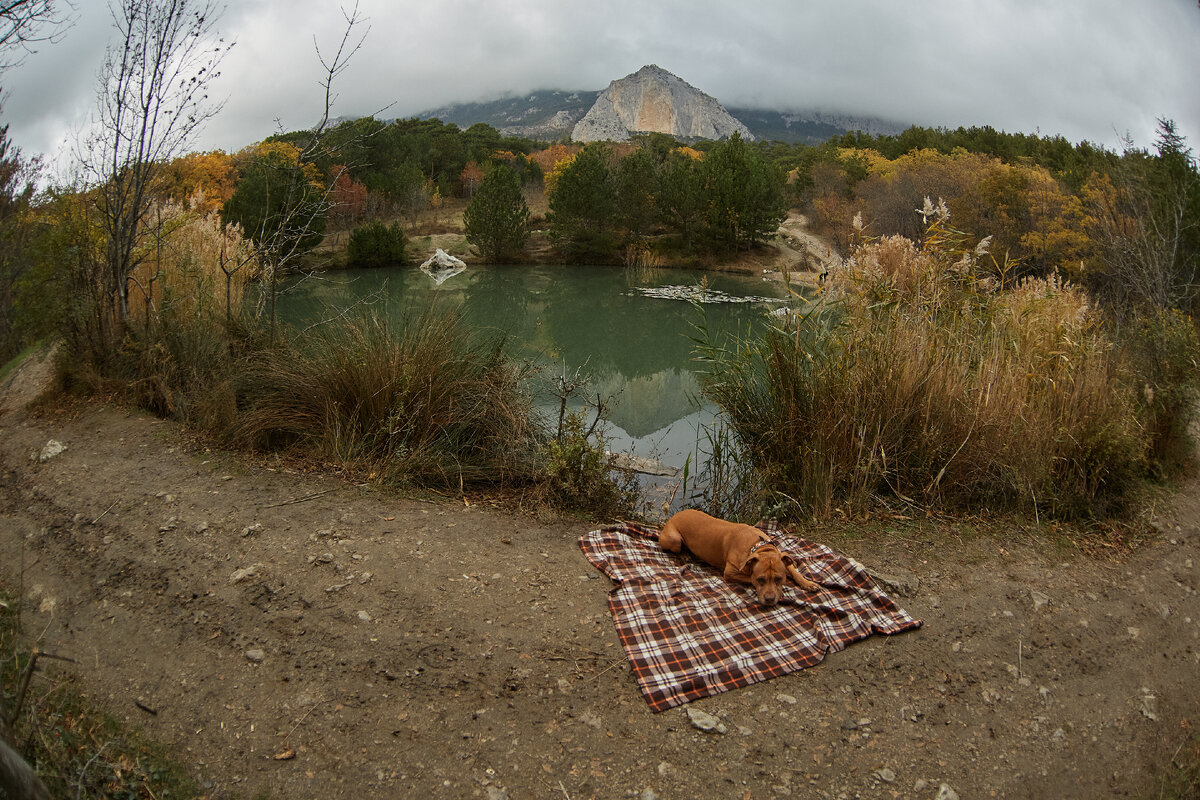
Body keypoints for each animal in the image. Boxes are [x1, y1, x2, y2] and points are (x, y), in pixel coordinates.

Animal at [652, 510, 820, 604]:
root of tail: (672, 517)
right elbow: (749, 578)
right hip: (674, 539)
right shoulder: (730, 572)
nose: (770, 599)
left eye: (779, 578)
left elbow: (793, 570)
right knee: (676, 548)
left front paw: (807, 583)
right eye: (760, 579)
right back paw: (685, 555)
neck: (758, 546)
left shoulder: (782, 556)